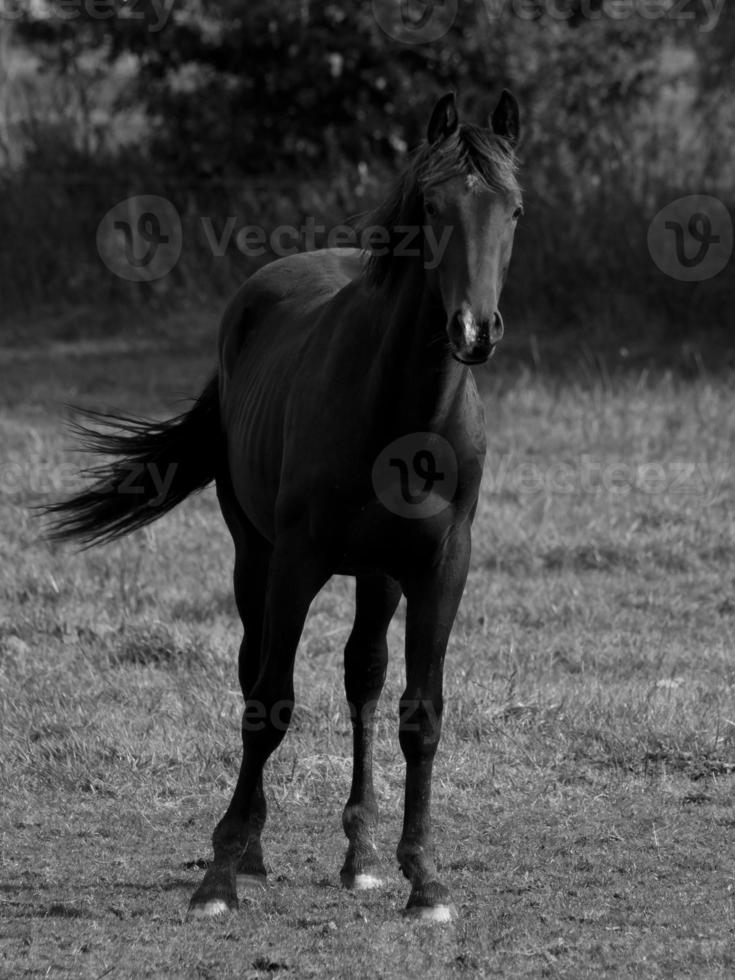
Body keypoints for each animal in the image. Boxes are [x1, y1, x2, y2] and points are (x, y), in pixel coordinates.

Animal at [47, 88, 524, 924]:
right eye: (432, 207)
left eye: (515, 210)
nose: (473, 330)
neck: (399, 410)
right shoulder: (296, 559)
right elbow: (270, 700)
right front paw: (219, 875)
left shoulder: (441, 565)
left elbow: (420, 711)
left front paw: (424, 879)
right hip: (255, 555)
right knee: (253, 671)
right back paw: (251, 848)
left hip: (378, 574)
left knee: (363, 678)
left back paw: (360, 855)